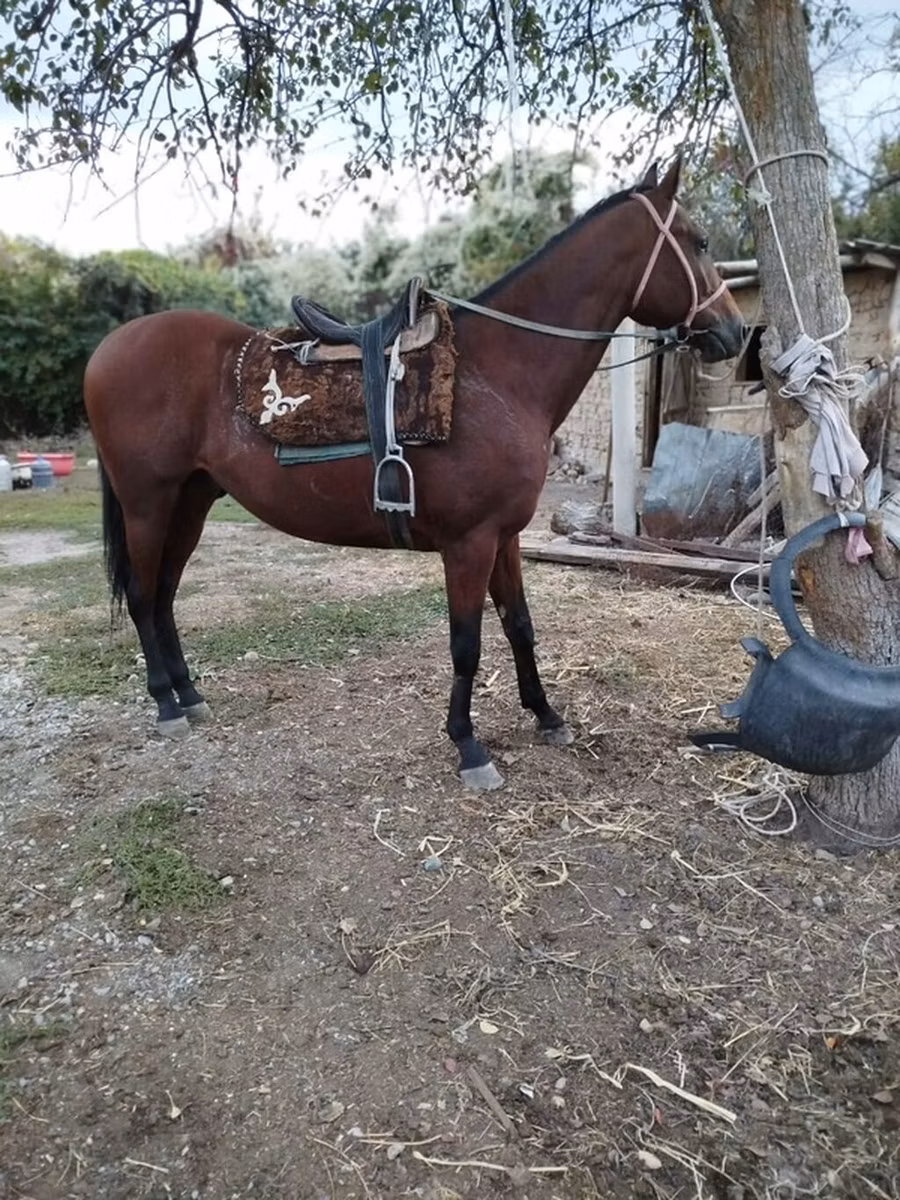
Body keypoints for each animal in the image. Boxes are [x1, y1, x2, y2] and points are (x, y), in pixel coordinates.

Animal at [84, 157, 744, 790]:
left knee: (165, 596)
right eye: (701, 241)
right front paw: (469, 746)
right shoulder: (469, 543)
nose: (736, 332)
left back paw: (189, 694)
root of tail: (107, 349)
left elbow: (520, 627)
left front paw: (546, 715)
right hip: (148, 504)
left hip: (190, 501)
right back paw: (165, 705)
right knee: (142, 596)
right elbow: (466, 644)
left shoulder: (505, 537)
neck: (498, 373)